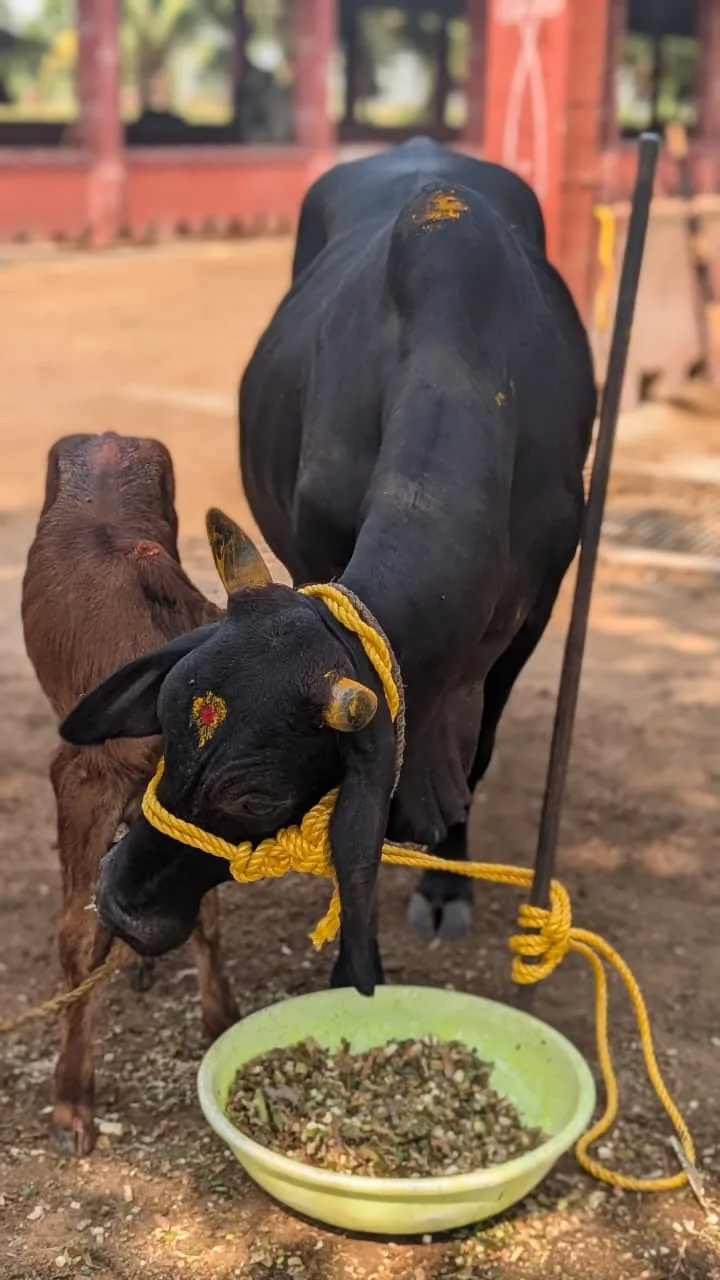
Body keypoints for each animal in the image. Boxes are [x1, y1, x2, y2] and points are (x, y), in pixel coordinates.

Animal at [22, 433, 237, 1154]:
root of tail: (110, 436)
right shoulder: (80, 784)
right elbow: (76, 934)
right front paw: (71, 1099)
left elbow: (202, 914)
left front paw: (223, 1021)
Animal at [60, 138, 597, 1001]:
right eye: (167, 728)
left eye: (255, 798)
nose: (119, 906)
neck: (465, 363)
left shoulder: (532, 618)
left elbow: (473, 754)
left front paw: (445, 876)